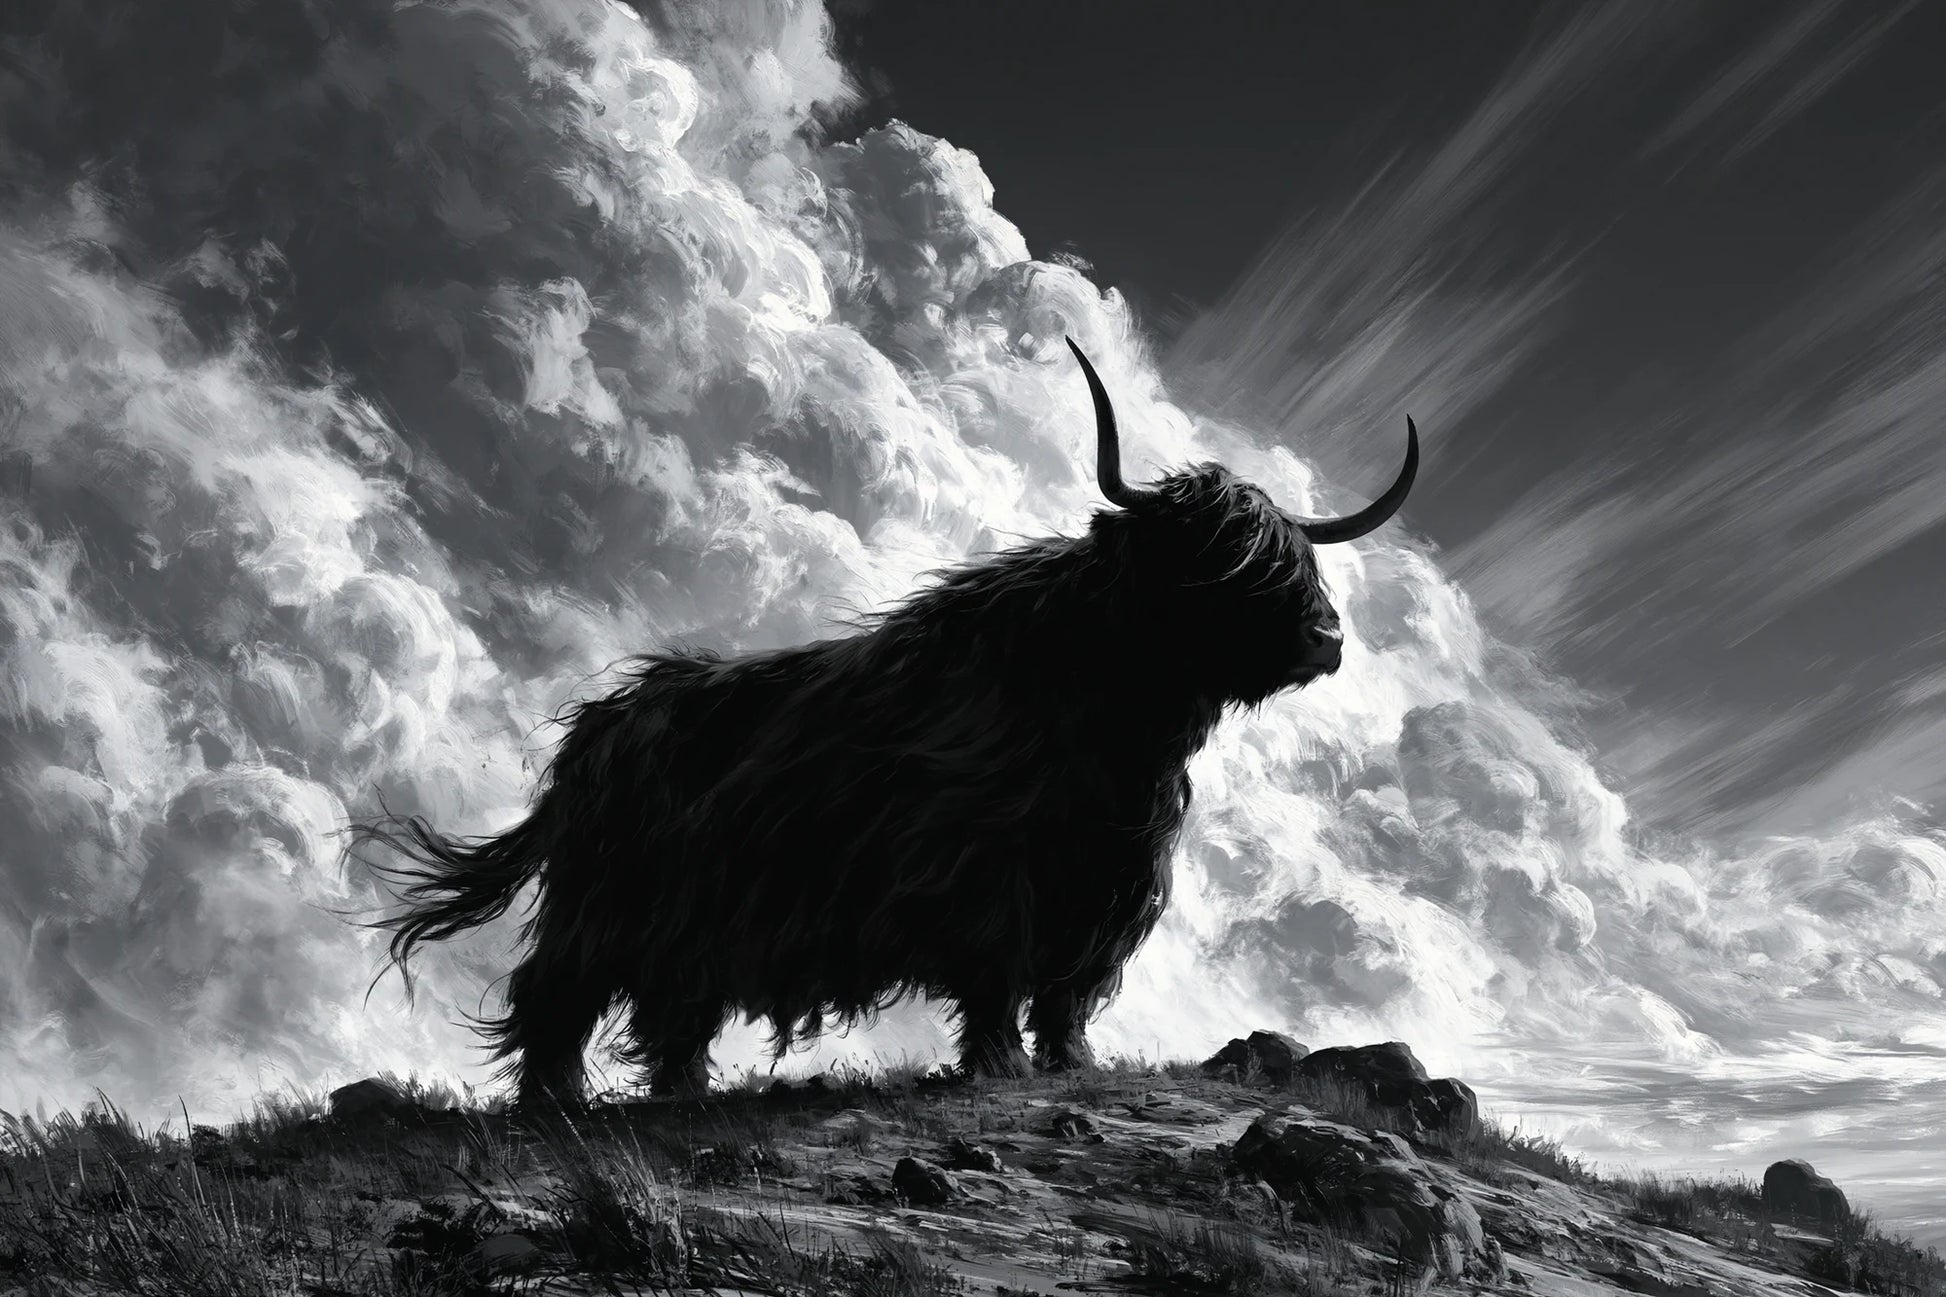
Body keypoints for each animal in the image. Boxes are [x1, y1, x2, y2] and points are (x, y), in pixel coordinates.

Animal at [353, 338, 1417, 1109]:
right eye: (1220, 556)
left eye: (1294, 558)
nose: (1326, 638)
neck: (1114, 718)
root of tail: (596, 733)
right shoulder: (988, 869)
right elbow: (998, 970)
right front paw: (1000, 1066)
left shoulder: (1106, 885)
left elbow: (1069, 987)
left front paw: (1071, 1062)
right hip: (605, 901)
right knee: (560, 992)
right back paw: (554, 1103)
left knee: (671, 1009)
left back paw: (681, 1093)